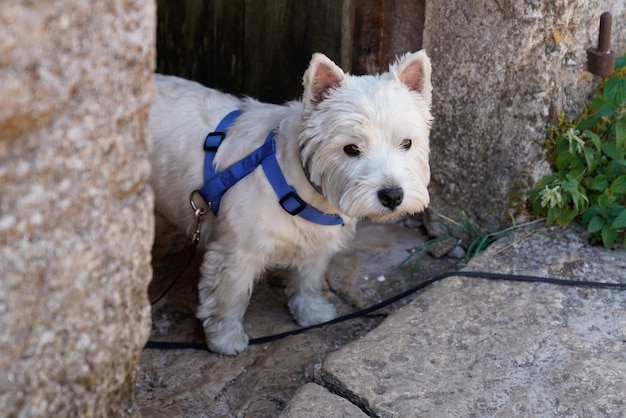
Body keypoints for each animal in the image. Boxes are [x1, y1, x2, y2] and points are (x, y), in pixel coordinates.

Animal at [149, 50, 432, 354]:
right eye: (351, 148)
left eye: (406, 143)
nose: (392, 196)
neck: (303, 184)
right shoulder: (235, 253)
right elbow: (229, 297)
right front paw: (225, 339)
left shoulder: (316, 242)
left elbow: (308, 280)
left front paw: (311, 313)